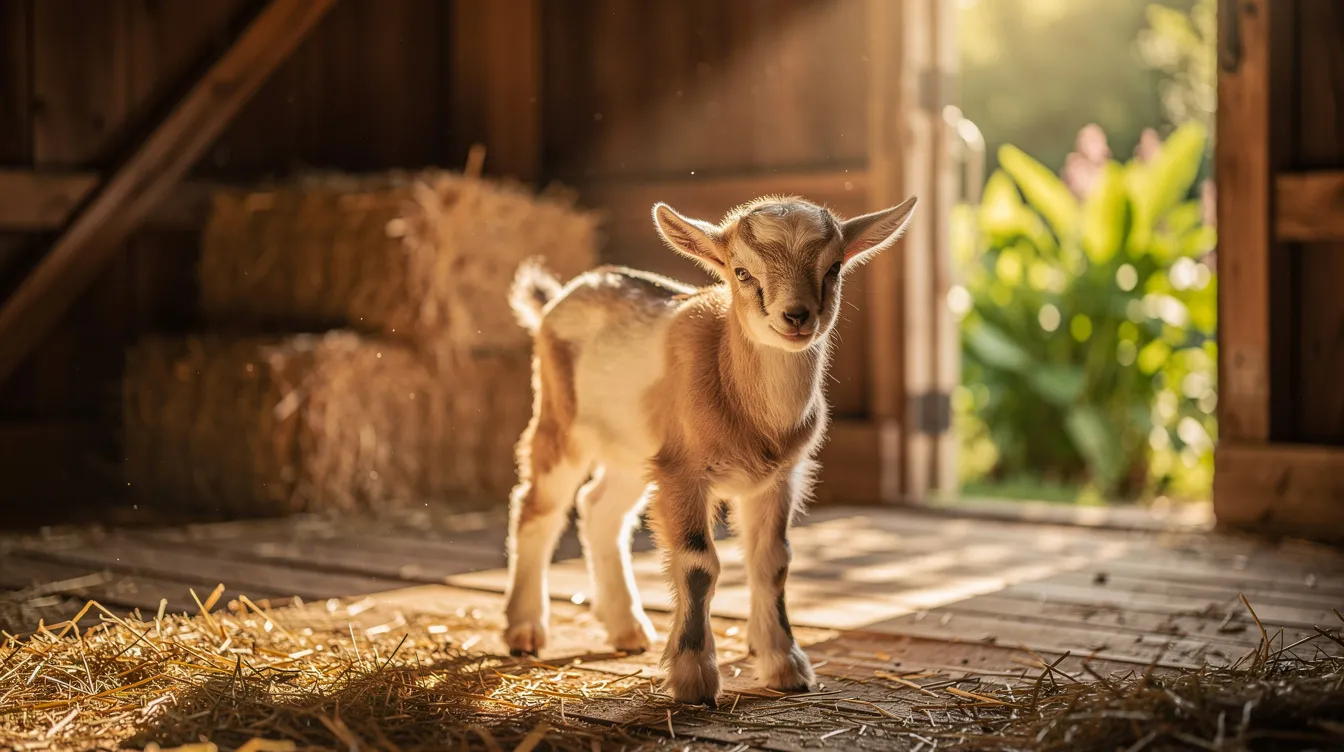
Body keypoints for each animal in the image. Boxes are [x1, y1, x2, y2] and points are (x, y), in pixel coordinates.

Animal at [502, 194, 917, 706]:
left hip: (634, 450)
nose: (797, 316)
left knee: (600, 508)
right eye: (741, 272)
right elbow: (699, 564)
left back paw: (626, 628)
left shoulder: (777, 478)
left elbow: (772, 561)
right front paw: (694, 676)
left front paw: (785, 664)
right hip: (562, 421)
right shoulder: (684, 472)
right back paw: (524, 629)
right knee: (537, 506)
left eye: (835, 267)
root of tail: (562, 296)